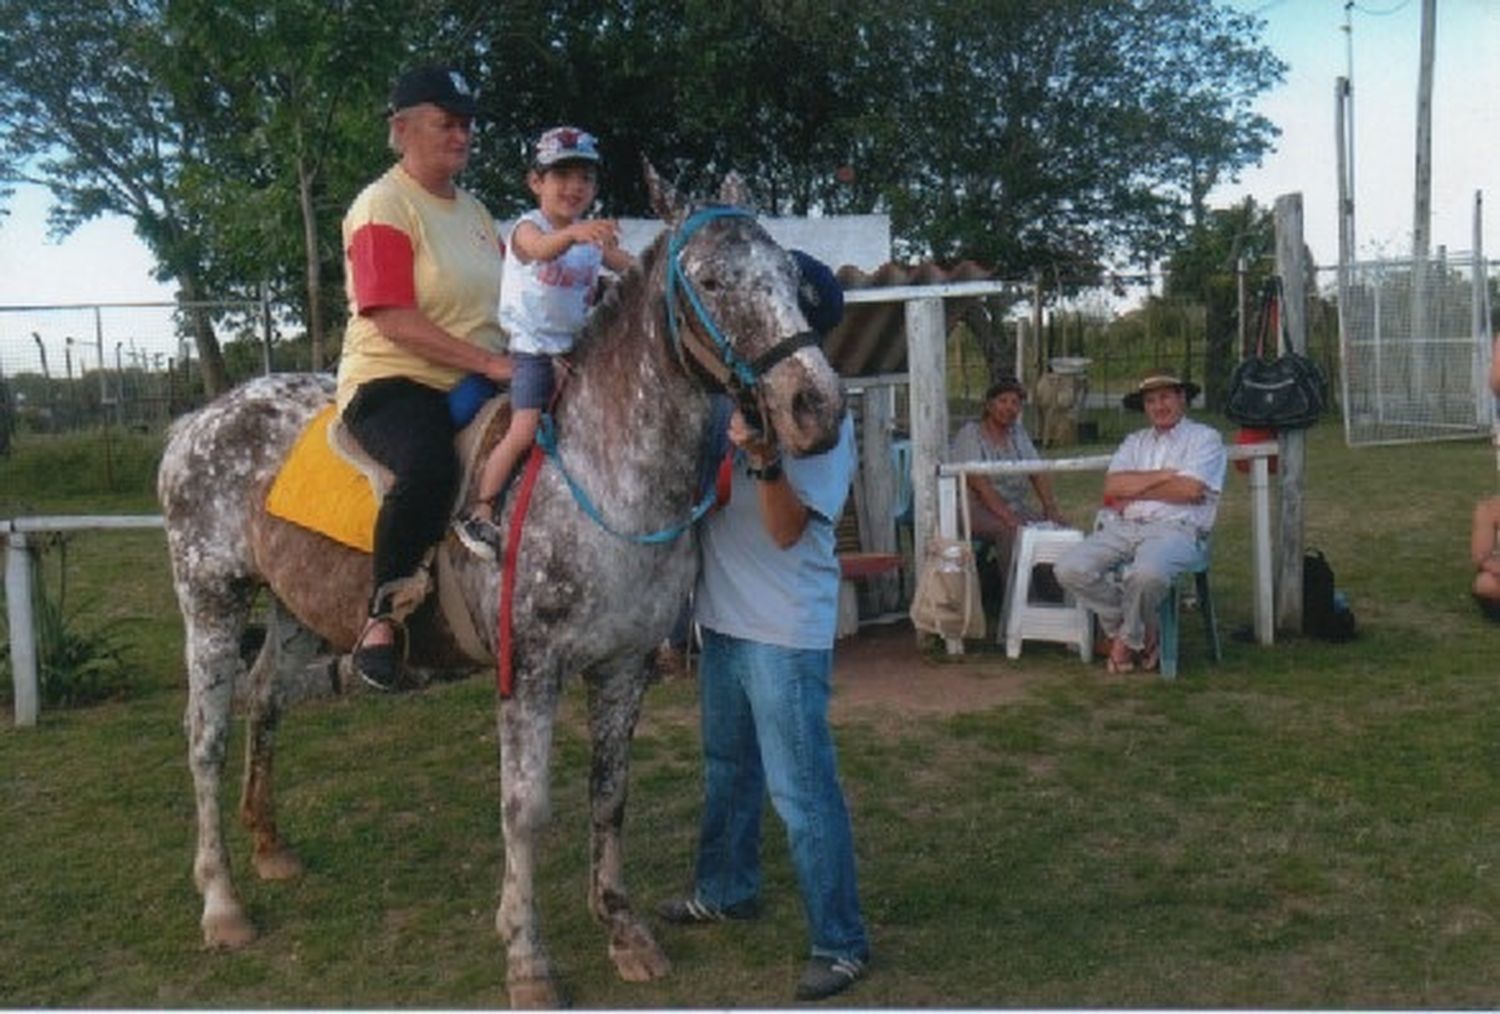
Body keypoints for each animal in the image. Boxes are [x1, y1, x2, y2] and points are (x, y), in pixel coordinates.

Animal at [161, 168, 858, 1008]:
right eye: (715, 280)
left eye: (790, 277)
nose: (816, 408)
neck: (598, 473)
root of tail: (199, 422)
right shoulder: (528, 672)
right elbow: (525, 811)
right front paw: (528, 959)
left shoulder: (623, 667)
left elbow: (608, 796)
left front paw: (624, 931)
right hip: (211, 599)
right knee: (206, 735)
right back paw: (223, 904)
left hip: (295, 605)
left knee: (265, 700)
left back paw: (269, 847)